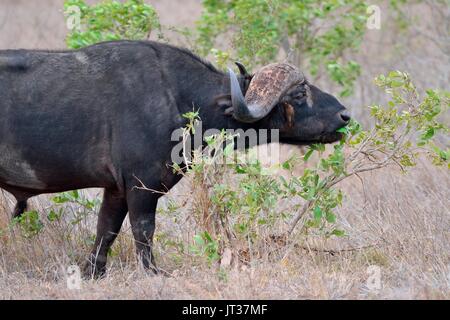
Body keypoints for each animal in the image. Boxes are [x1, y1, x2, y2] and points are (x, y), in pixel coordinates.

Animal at [0, 39, 350, 276]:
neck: (177, 97)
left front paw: (93, 273)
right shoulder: (141, 187)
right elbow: (143, 230)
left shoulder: (116, 191)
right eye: (300, 93)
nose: (345, 115)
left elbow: (106, 230)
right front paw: (153, 273)